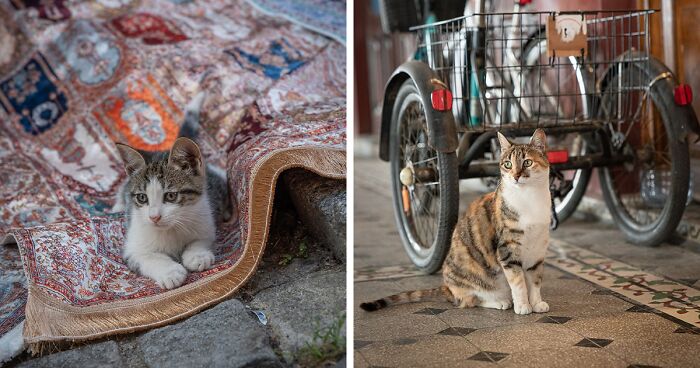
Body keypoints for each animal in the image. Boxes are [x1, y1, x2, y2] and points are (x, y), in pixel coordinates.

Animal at [113, 95, 231, 290]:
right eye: (142, 198)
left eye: (170, 195)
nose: (154, 217)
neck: (171, 229)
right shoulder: (132, 248)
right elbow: (147, 256)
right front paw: (170, 272)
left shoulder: (205, 220)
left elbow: (201, 239)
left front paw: (197, 255)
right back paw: (117, 206)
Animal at [360, 129, 552, 314]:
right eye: (508, 164)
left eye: (527, 162)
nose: (516, 176)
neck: (529, 197)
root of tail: (448, 288)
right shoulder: (507, 248)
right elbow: (518, 282)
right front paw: (523, 306)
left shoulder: (538, 249)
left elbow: (535, 281)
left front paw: (537, 303)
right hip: (472, 279)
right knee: (468, 300)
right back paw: (501, 302)